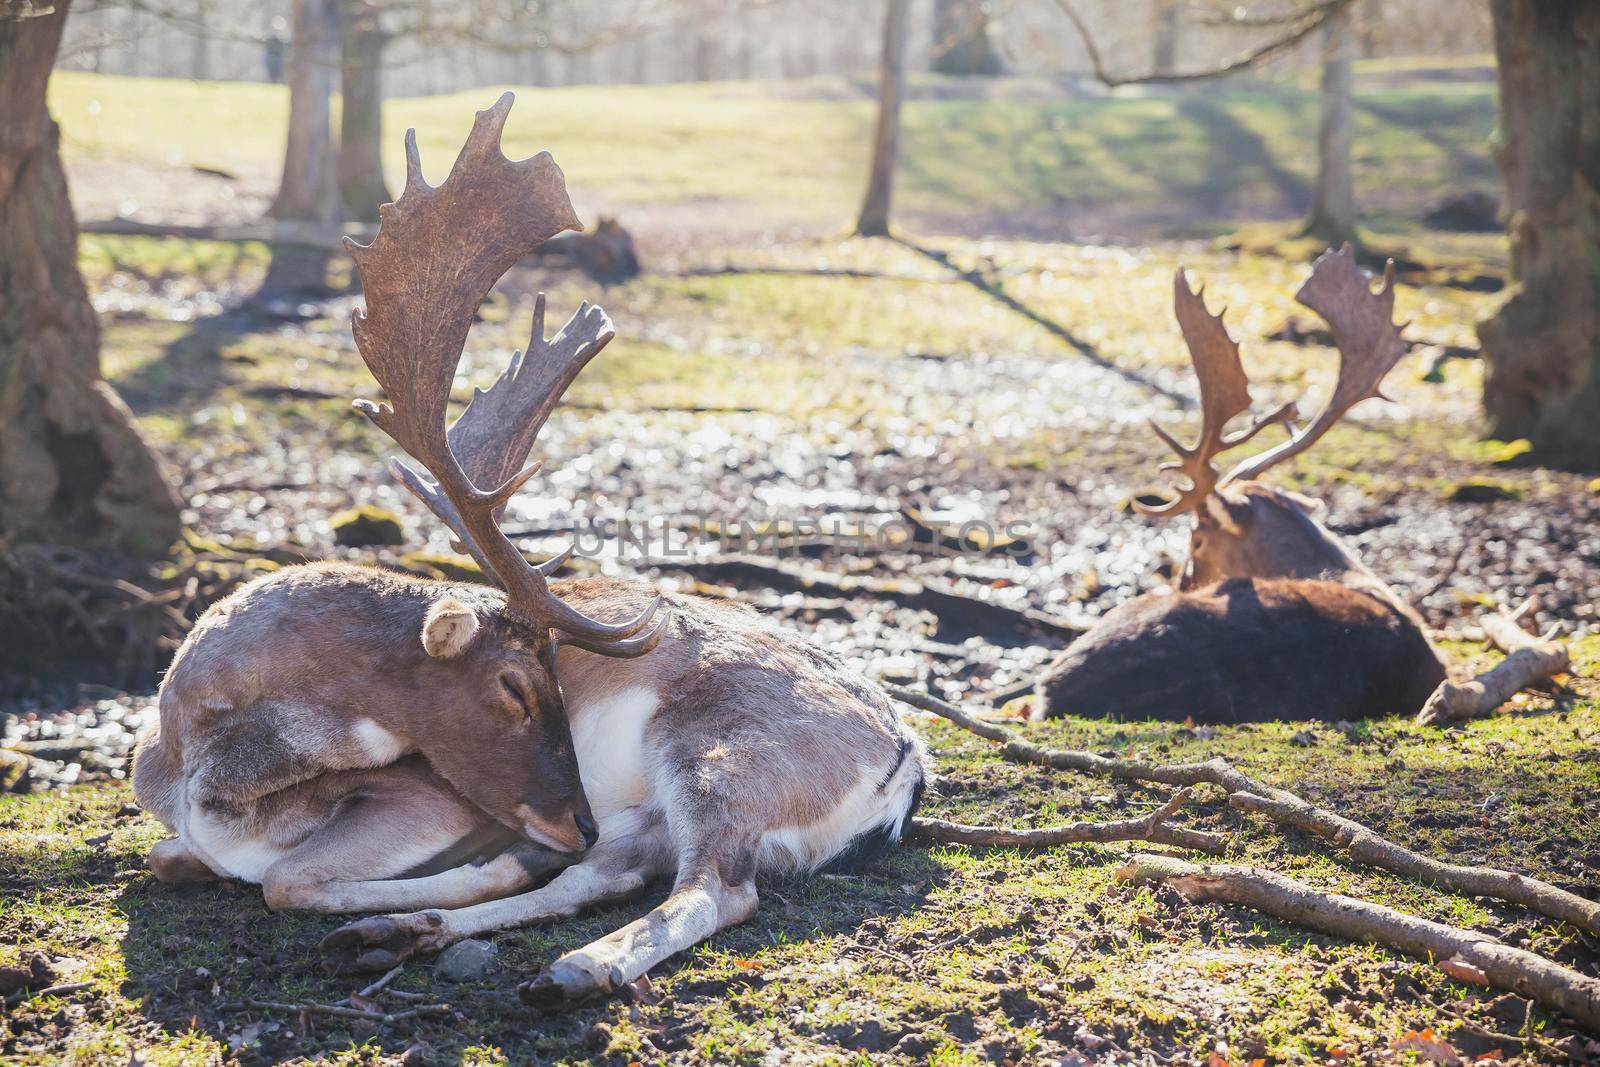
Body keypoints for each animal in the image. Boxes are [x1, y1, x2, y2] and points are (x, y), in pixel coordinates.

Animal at [132, 93, 934, 1011]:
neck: (198, 771)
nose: (574, 816)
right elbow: (171, 858)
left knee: (716, 887)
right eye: (516, 686)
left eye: (557, 675)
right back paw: (394, 934)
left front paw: (484, 869)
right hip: (659, 809)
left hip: (721, 752)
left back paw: (574, 965)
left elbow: (283, 879)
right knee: (611, 874)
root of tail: (910, 760)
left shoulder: (435, 796)